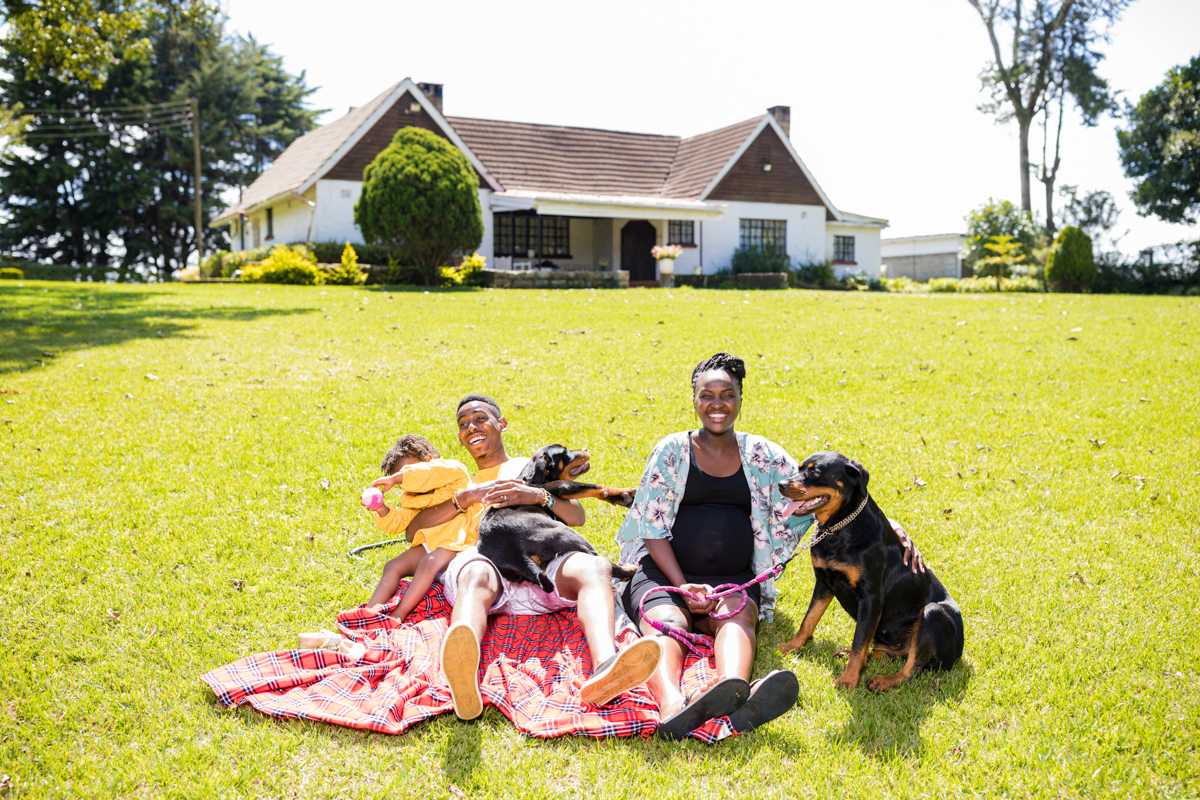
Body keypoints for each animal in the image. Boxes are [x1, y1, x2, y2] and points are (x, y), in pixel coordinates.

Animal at [477, 443, 643, 594]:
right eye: (564, 451)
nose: (585, 448)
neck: (531, 478)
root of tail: (514, 552)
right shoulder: (563, 486)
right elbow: (595, 487)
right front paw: (623, 494)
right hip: (568, 534)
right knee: (604, 562)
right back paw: (628, 568)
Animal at [777, 453, 964, 690]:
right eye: (799, 468)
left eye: (815, 473)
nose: (781, 485)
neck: (837, 529)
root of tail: (958, 656)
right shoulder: (824, 582)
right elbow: (808, 620)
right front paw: (791, 646)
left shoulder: (871, 597)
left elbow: (859, 642)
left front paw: (848, 681)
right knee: (886, 653)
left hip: (933, 613)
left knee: (912, 668)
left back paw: (883, 681)